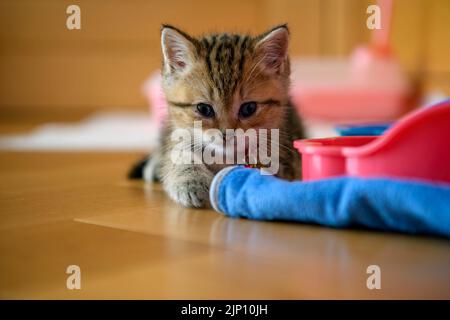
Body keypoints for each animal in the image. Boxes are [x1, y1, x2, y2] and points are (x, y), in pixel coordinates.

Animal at [132, 24, 304, 208]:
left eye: (249, 108)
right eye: (203, 108)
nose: (226, 134)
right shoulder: (179, 135)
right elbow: (179, 153)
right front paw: (191, 181)